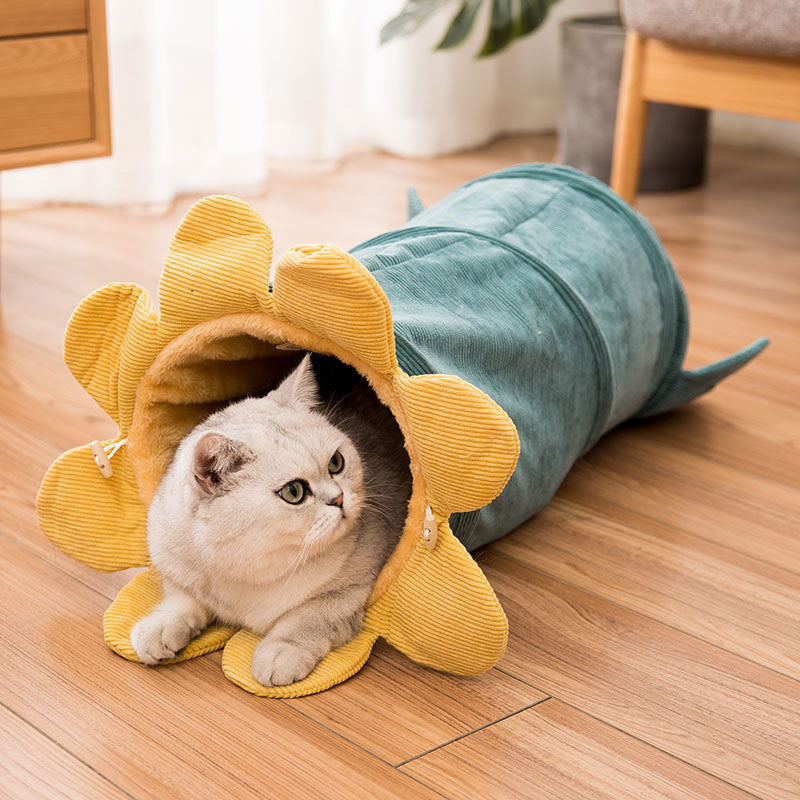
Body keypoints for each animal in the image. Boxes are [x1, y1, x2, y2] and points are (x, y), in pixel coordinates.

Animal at [130, 354, 412, 684]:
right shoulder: (176, 569)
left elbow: (307, 618)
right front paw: (159, 628)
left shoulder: (350, 589)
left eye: (336, 462)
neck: (249, 571)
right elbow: (181, 601)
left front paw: (280, 652)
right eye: (294, 491)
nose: (339, 499)